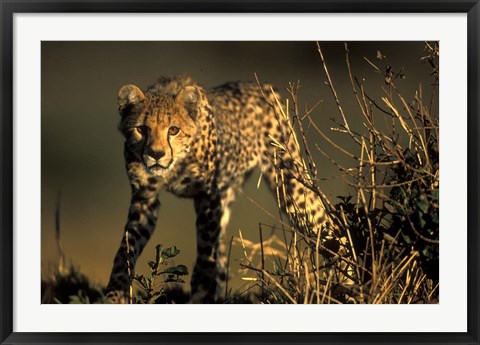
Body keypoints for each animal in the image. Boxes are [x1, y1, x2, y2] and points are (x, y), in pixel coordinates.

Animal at [104, 76, 334, 302]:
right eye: (141, 129)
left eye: (173, 130)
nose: (156, 154)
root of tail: (261, 85)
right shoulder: (145, 198)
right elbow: (126, 248)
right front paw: (116, 294)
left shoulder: (208, 197)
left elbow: (207, 251)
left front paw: (201, 294)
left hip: (291, 184)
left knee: (324, 223)